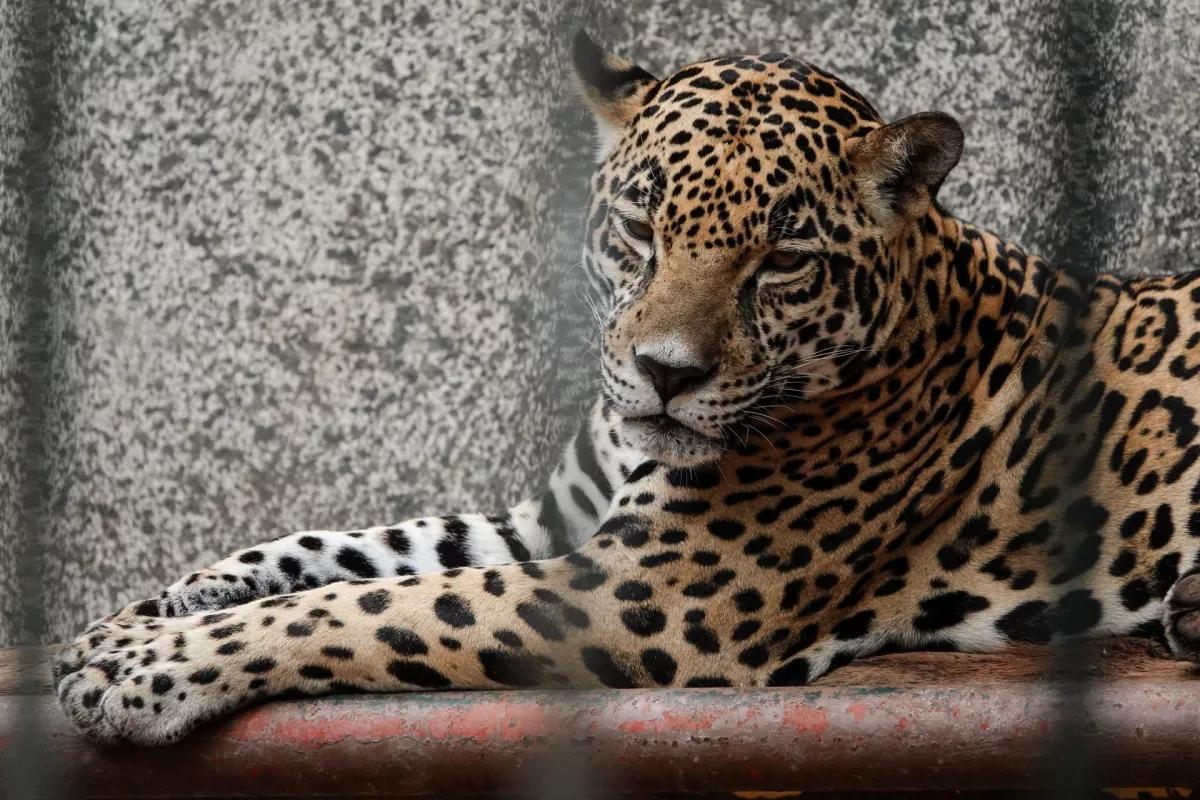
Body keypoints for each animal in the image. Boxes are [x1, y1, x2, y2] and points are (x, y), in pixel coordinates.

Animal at [54, 31, 1200, 746]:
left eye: (785, 259)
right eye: (639, 230)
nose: (665, 373)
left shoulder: (645, 588)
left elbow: (364, 603)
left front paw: (141, 669)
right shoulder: (553, 518)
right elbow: (348, 546)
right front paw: (134, 617)